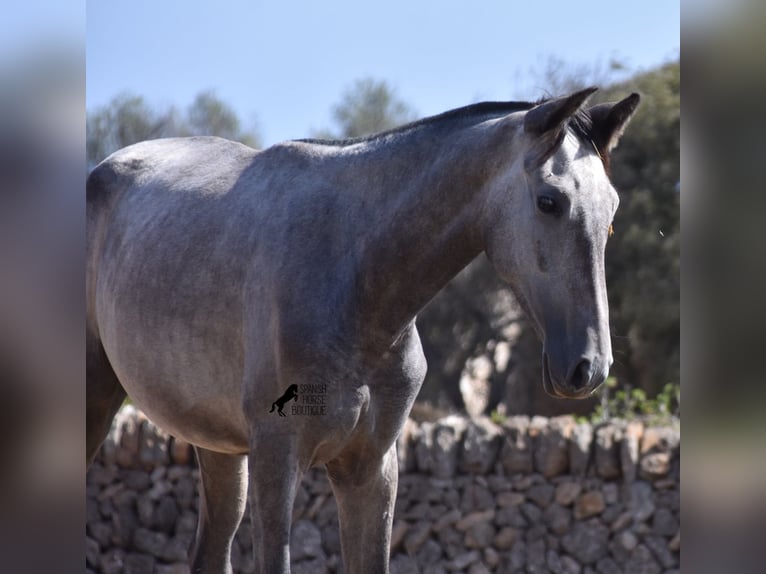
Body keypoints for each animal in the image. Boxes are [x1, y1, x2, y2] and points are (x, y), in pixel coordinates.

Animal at [87, 88, 640, 572]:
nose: (589, 367)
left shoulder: (370, 469)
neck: (353, 277)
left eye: (612, 211)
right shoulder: (277, 463)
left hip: (218, 447)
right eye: (549, 202)